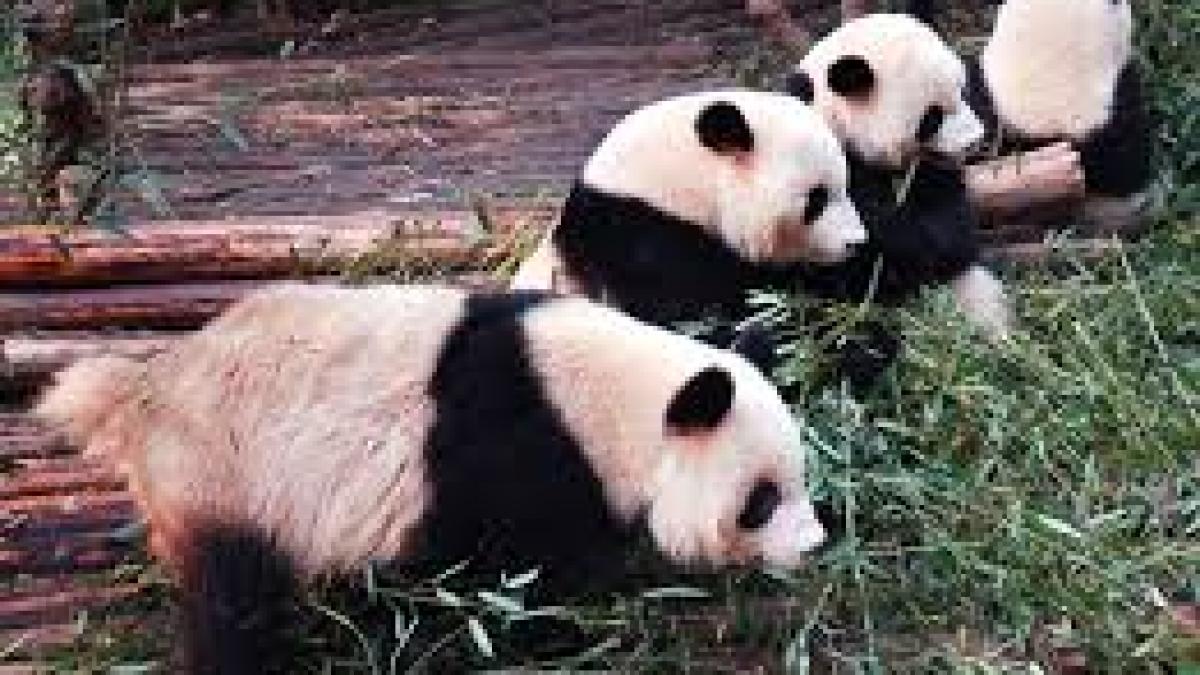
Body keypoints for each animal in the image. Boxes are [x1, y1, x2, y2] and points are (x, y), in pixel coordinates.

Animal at [37, 283, 826, 674]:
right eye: (759, 501)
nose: (815, 546)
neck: (610, 397)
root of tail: (144, 395)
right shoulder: (513, 454)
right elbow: (516, 575)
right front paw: (569, 628)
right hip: (226, 474)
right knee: (234, 597)